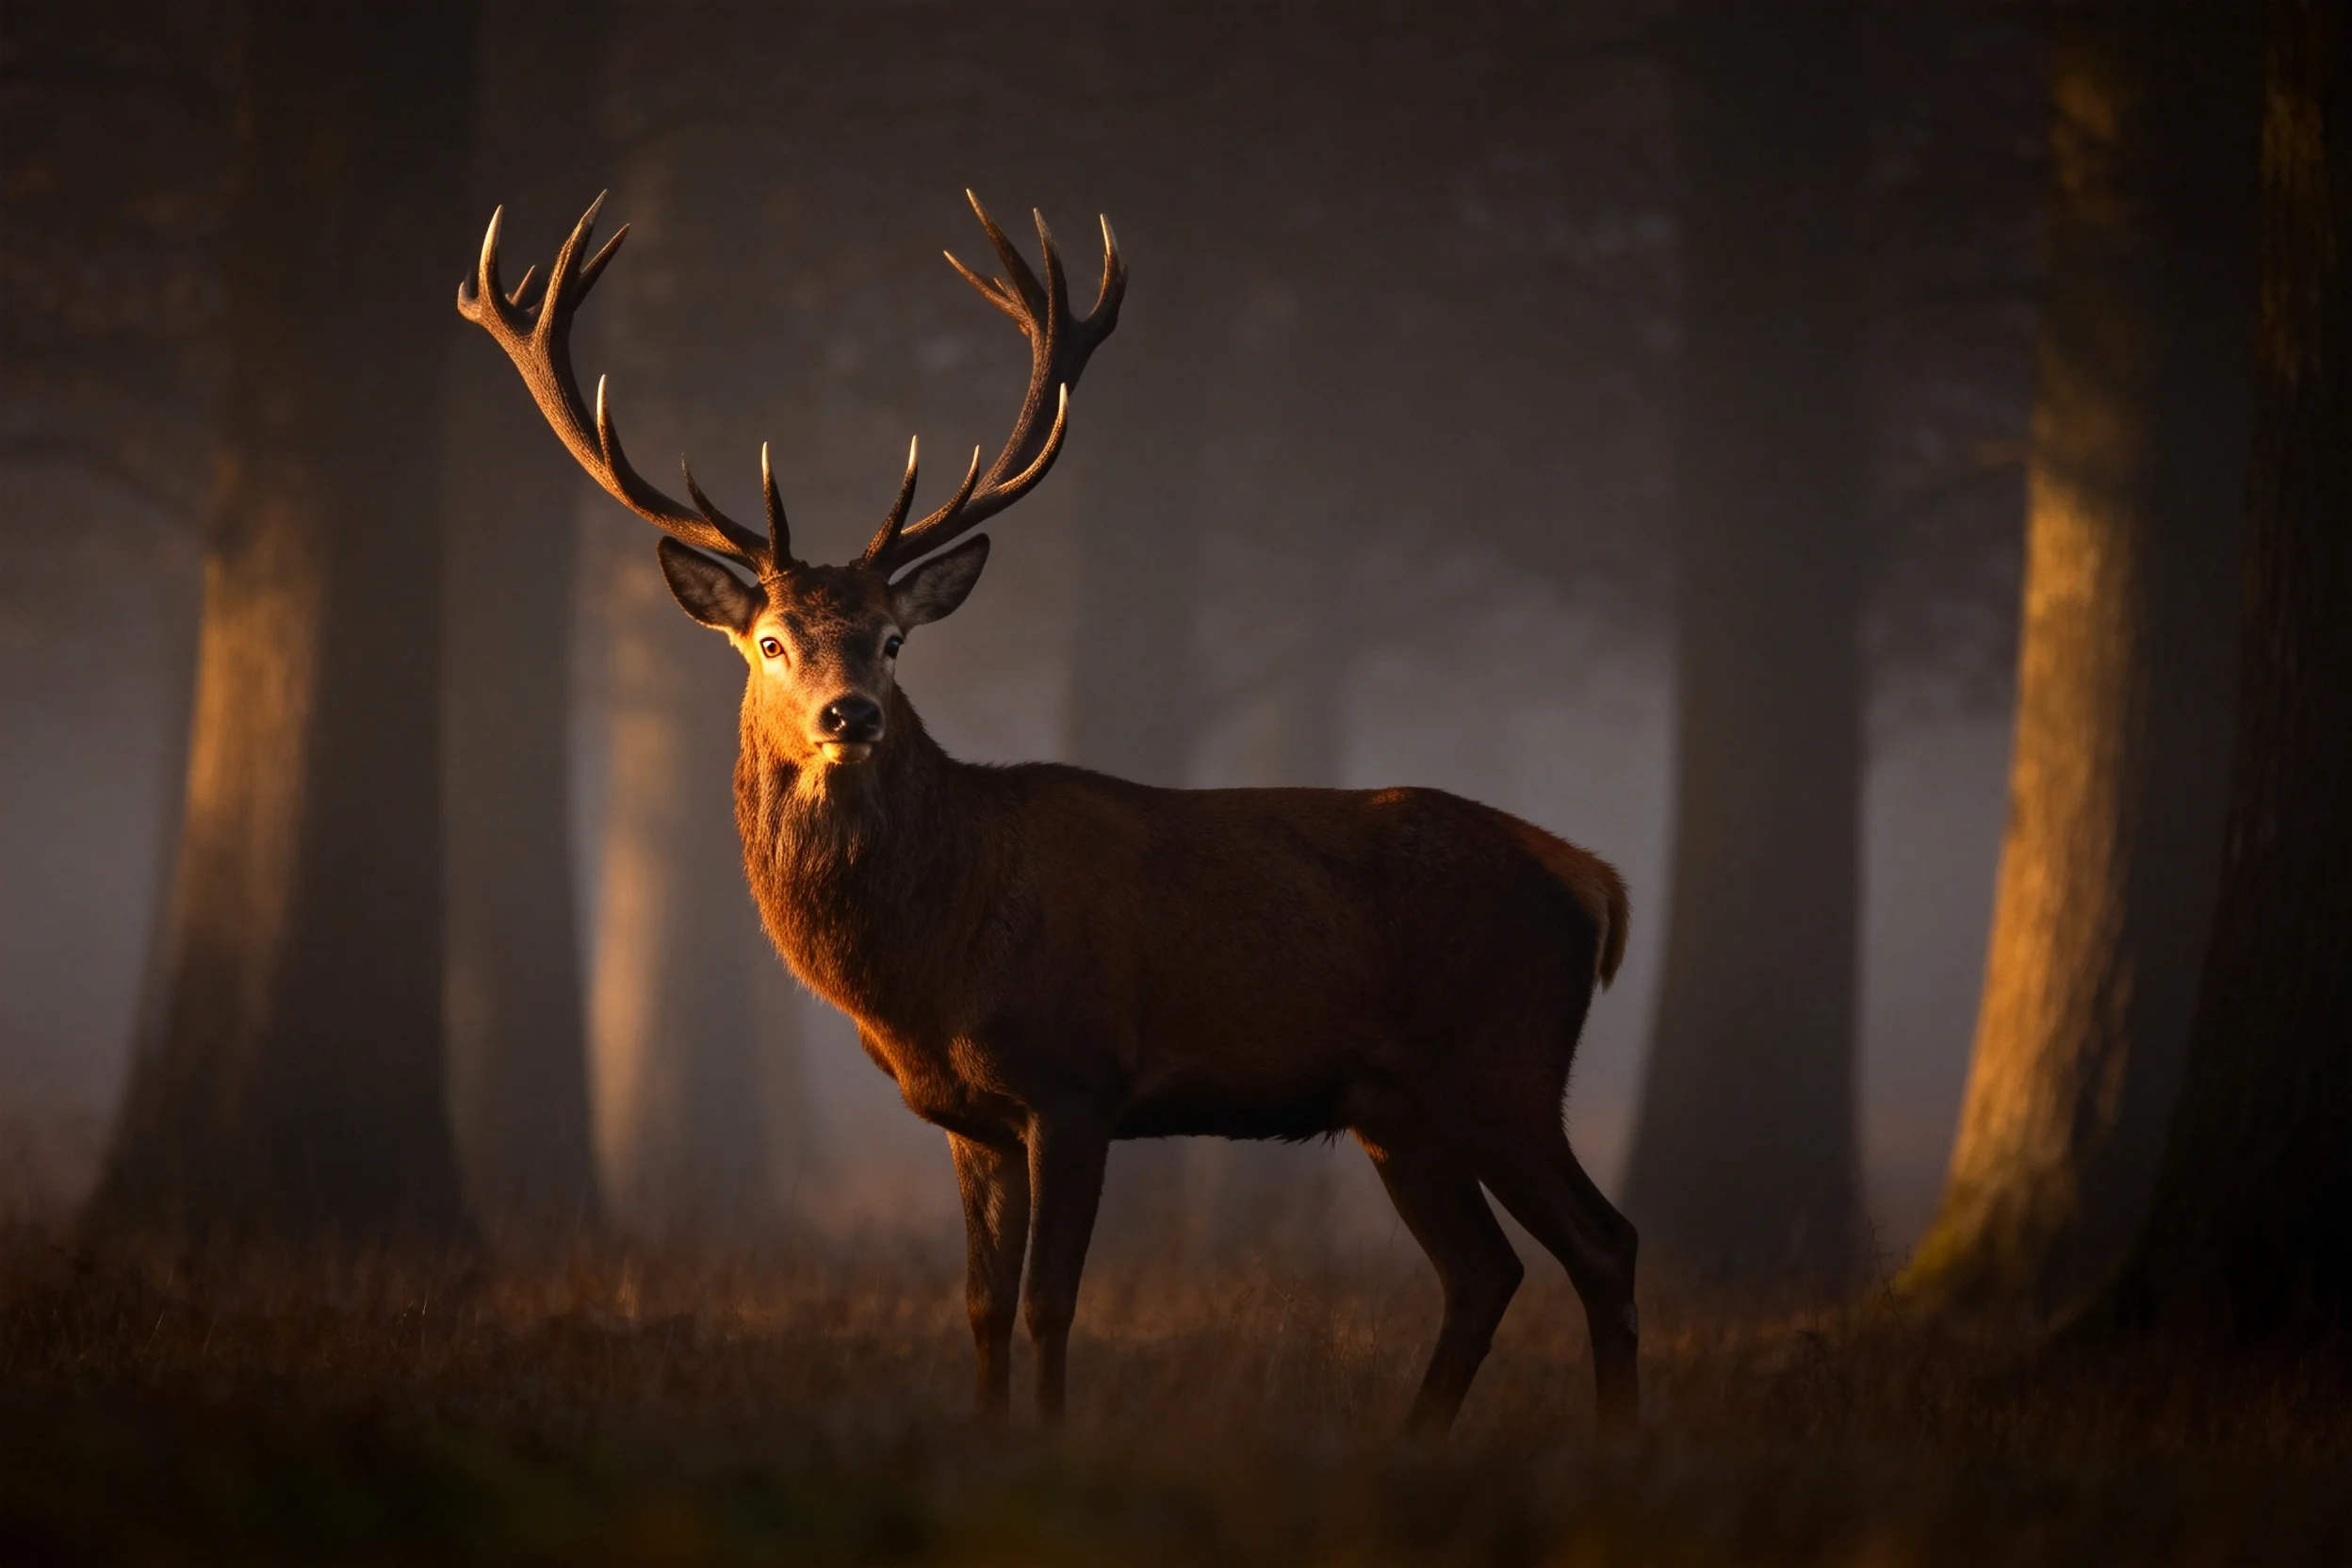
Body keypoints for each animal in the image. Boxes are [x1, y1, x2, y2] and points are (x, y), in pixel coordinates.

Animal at [458, 192, 1640, 1434]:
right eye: (771, 640)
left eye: (892, 638)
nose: (850, 713)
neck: (929, 962)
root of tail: (1594, 879)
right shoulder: (970, 1117)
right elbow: (981, 1302)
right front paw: (986, 1433)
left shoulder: (1080, 1078)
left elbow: (1051, 1301)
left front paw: (1054, 1437)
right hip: (1395, 1104)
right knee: (1484, 1270)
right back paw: (1418, 1442)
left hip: (1503, 1058)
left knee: (1602, 1242)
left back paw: (1612, 1442)